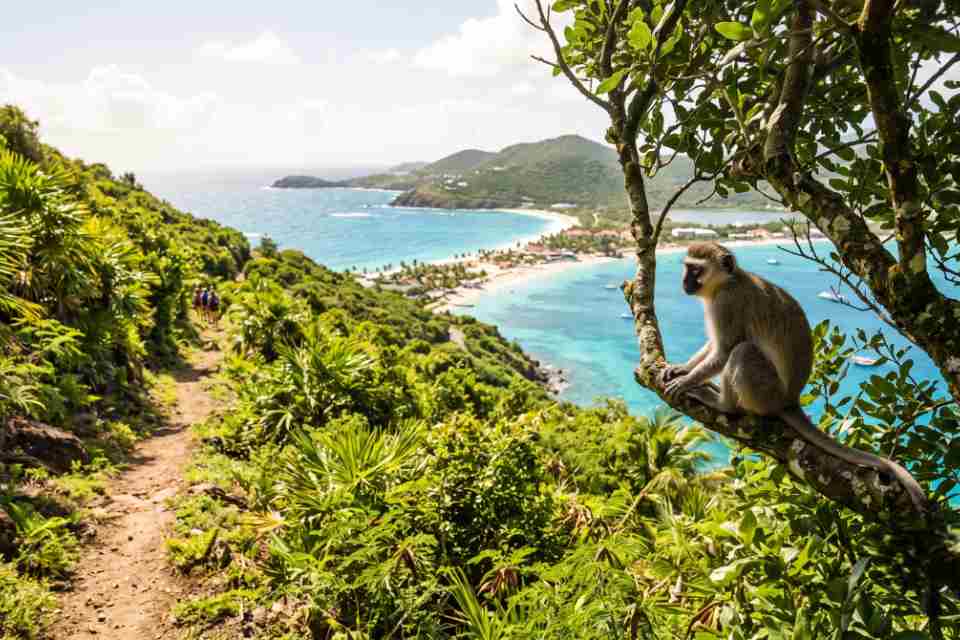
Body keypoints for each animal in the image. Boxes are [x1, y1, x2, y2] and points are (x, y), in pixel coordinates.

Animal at [663, 242, 928, 510]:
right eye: (687, 267)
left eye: (696, 270)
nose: (684, 281)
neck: (727, 281)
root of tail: (790, 399)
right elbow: (714, 346)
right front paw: (684, 368)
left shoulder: (727, 303)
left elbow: (724, 350)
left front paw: (687, 381)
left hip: (767, 392)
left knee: (743, 351)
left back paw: (724, 405)